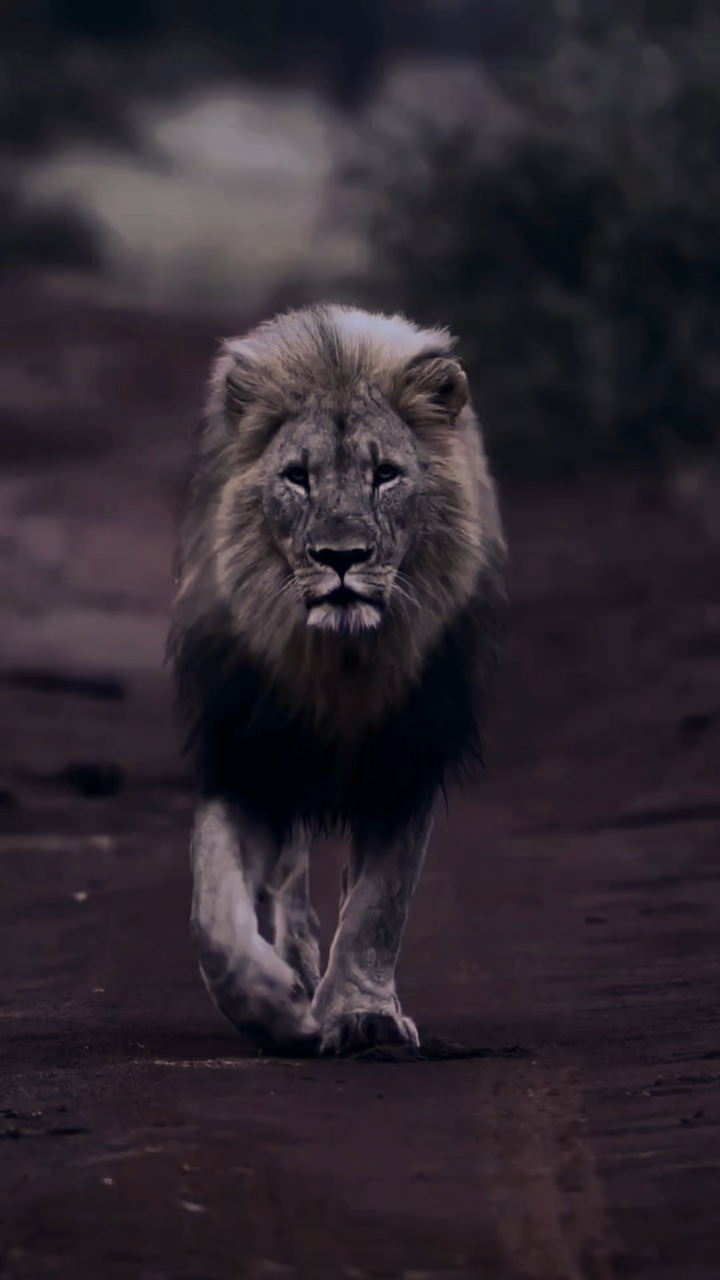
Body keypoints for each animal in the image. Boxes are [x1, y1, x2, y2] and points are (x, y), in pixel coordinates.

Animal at [168, 303, 506, 1056]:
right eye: (297, 477)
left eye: (386, 475)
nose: (341, 556)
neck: (341, 665)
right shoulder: (245, 752)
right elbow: (213, 916)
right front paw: (271, 1004)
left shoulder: (406, 758)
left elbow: (380, 906)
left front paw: (362, 1014)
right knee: (287, 884)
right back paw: (293, 970)